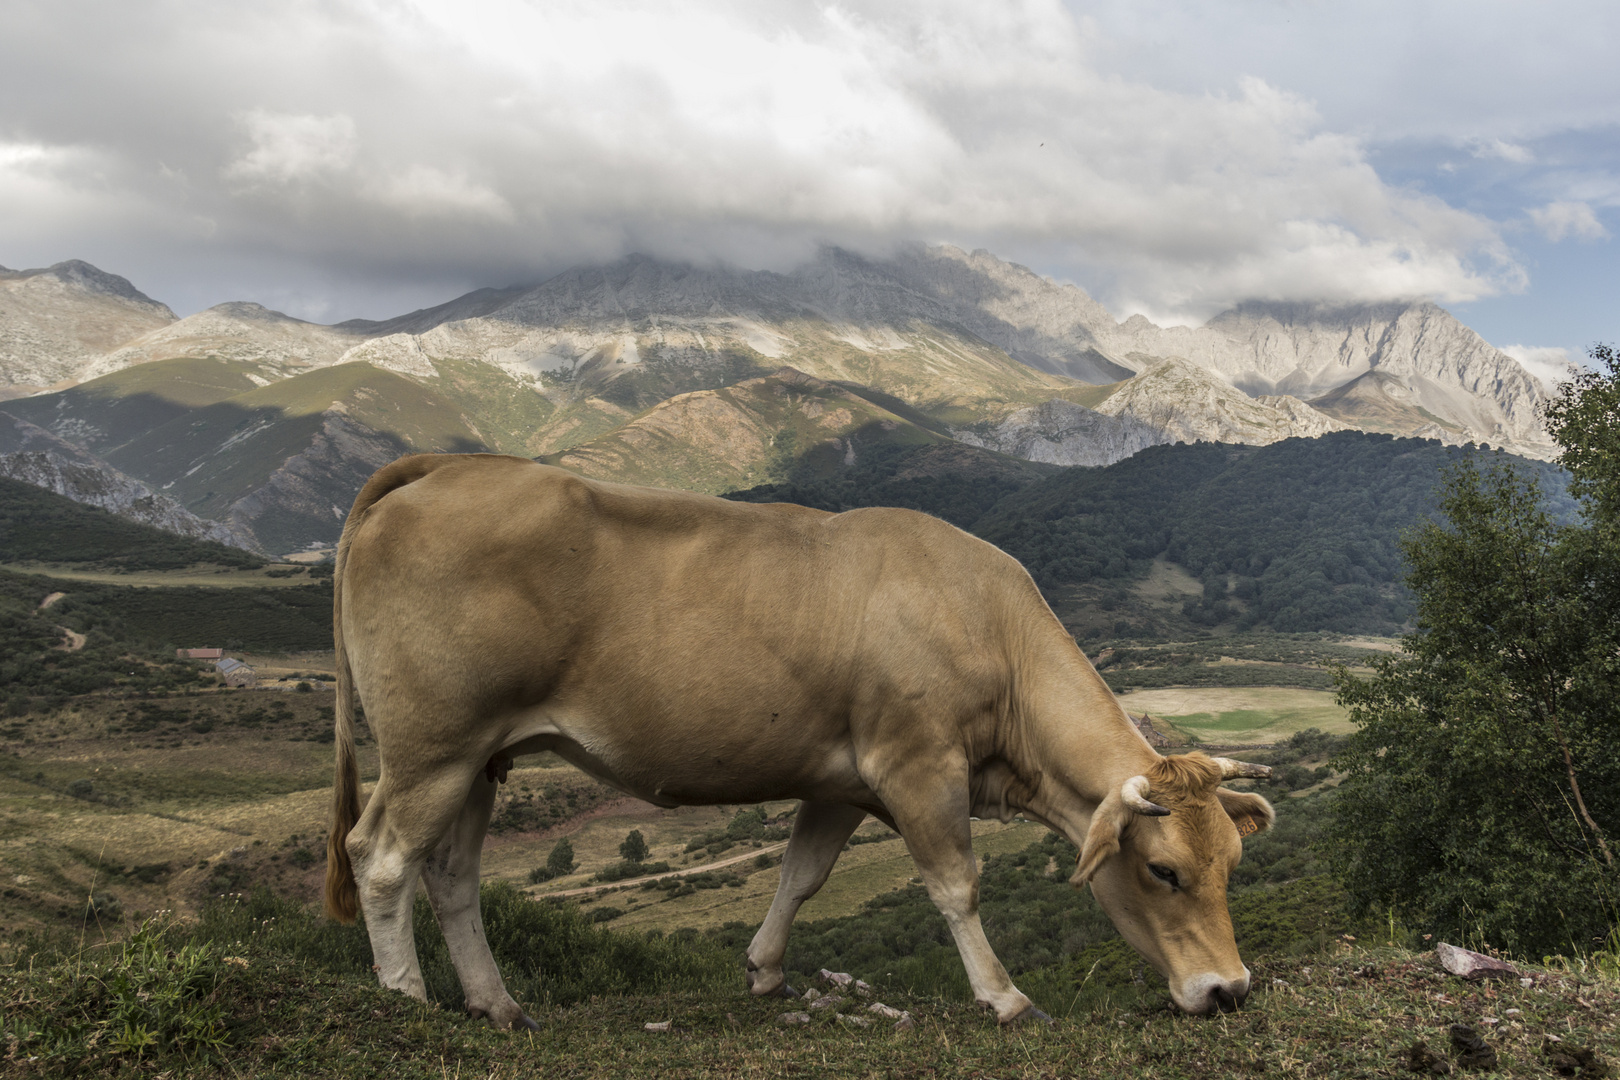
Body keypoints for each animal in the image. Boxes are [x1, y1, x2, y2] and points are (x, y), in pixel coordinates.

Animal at [322, 453, 1270, 1029]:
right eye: (1163, 872)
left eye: (1231, 861)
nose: (1228, 989)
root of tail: (449, 465)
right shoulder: (918, 764)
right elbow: (956, 884)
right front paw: (1003, 998)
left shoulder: (840, 780)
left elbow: (800, 875)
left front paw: (766, 971)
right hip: (431, 748)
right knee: (380, 857)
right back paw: (405, 996)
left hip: (479, 757)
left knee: (451, 874)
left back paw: (498, 1005)